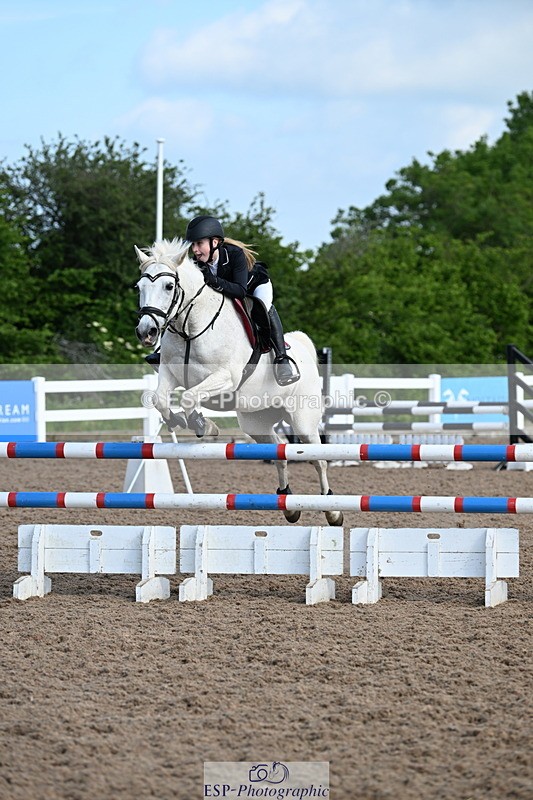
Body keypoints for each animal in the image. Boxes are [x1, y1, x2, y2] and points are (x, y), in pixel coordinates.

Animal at [134, 237, 343, 526]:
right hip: (257, 422)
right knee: (279, 453)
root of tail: (302, 345)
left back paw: (332, 510)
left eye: (168, 286)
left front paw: (203, 425)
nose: (147, 332)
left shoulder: (225, 378)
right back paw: (288, 504)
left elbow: (189, 397)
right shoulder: (169, 373)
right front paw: (180, 421)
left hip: (303, 421)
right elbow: (160, 399)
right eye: (139, 287)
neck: (190, 328)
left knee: (318, 460)